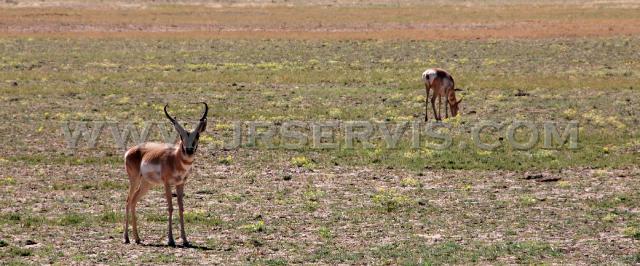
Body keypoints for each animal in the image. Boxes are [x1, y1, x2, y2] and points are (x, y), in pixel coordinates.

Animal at [123, 102, 208, 247]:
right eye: (181, 136)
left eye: (197, 135)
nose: (189, 150)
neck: (175, 158)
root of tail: (130, 151)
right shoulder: (167, 183)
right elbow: (170, 207)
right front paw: (171, 240)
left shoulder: (180, 184)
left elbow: (181, 208)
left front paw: (185, 240)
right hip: (134, 180)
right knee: (128, 200)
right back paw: (127, 238)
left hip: (146, 184)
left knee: (134, 200)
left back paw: (138, 238)